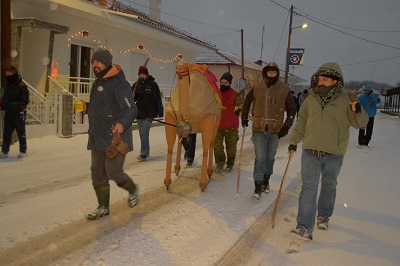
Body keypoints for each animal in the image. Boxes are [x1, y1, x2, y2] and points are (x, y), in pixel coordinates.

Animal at [164, 61, 223, 191]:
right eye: (178, 64)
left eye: (184, 65)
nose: (179, 68)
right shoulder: (171, 118)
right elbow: (170, 146)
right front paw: (167, 183)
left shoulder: (208, 118)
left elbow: (205, 149)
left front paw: (202, 185)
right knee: (181, 142)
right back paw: (177, 168)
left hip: (216, 122)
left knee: (211, 143)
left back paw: (209, 172)